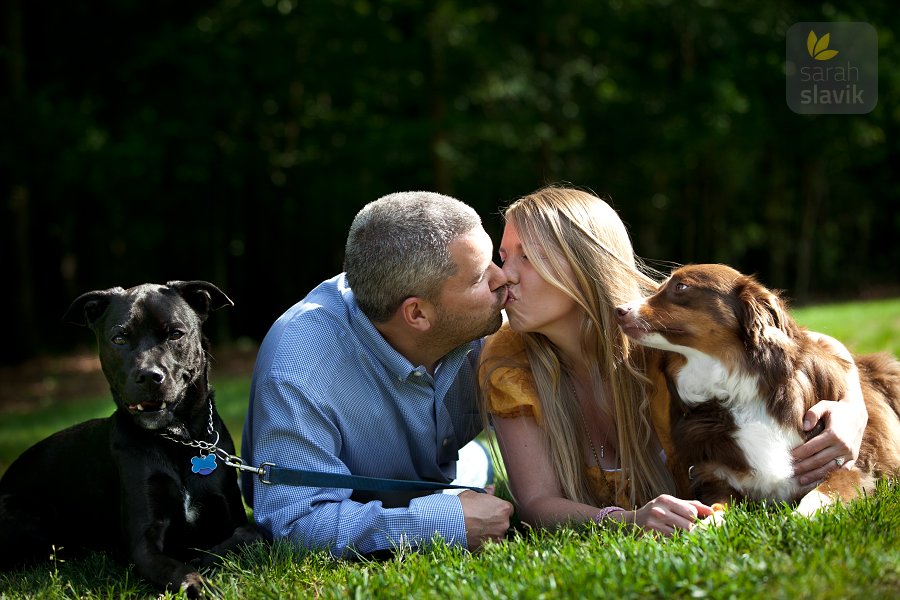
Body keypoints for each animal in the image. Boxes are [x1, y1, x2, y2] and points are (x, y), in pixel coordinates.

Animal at [0, 280, 260, 596]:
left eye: (175, 333)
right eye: (120, 338)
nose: (149, 376)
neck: (177, 441)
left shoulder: (232, 515)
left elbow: (252, 535)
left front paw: (205, 556)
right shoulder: (143, 542)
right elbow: (181, 569)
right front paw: (202, 582)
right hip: (29, 517)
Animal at [616, 264, 900, 516]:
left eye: (681, 286)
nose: (619, 310)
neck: (736, 389)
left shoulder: (847, 467)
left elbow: (815, 498)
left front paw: (793, 523)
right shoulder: (717, 481)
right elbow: (715, 509)